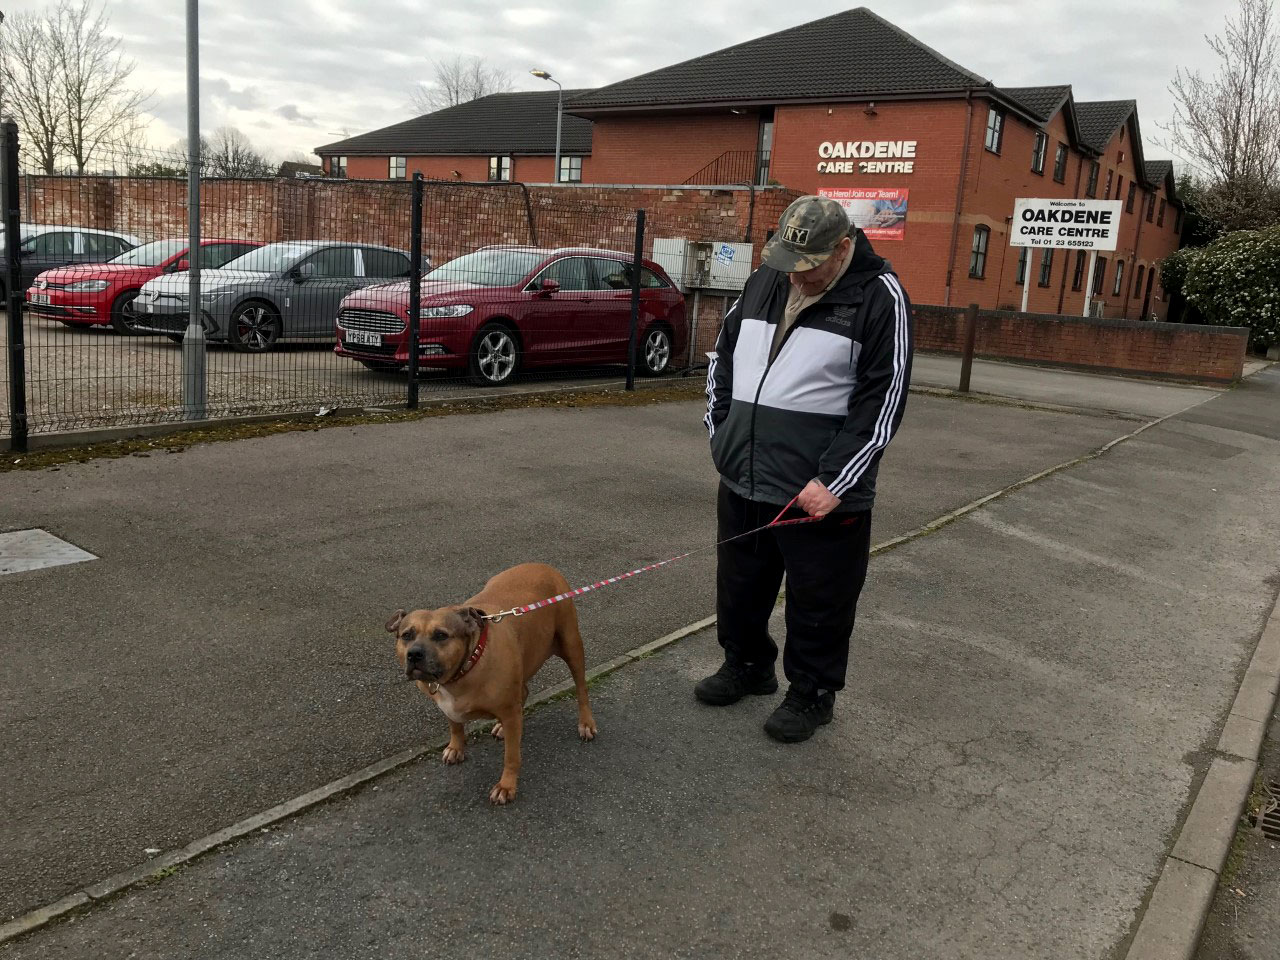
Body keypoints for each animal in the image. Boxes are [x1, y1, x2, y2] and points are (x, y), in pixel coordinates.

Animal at [387, 562, 596, 805]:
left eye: (441, 635)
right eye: (406, 635)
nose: (414, 654)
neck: (466, 666)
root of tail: (544, 566)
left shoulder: (510, 713)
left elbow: (511, 756)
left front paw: (506, 786)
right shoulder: (448, 705)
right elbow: (455, 725)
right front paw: (456, 747)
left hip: (571, 644)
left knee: (581, 688)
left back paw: (586, 723)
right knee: (523, 691)